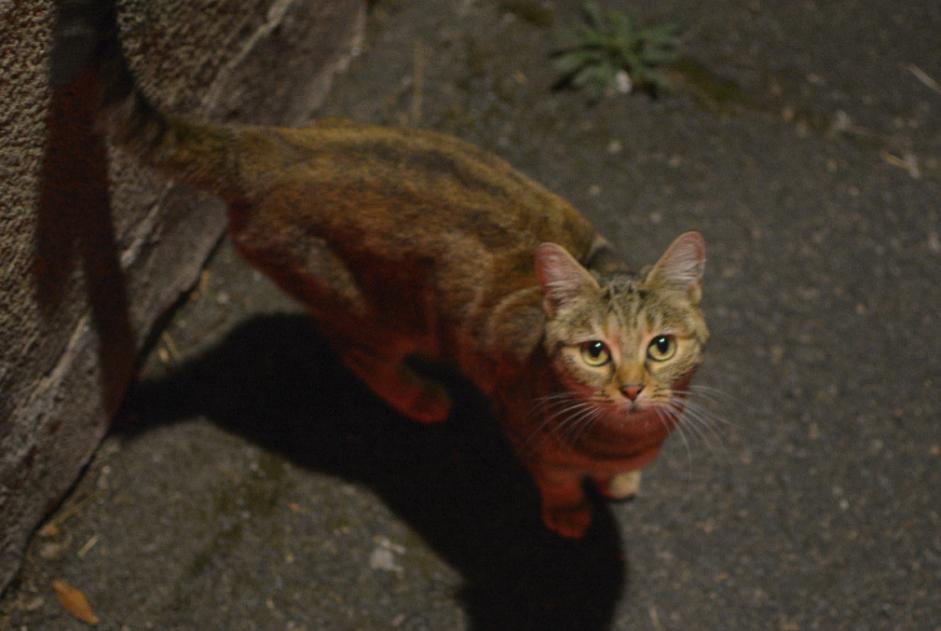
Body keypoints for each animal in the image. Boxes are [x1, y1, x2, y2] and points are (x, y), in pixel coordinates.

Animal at [53, 0, 704, 540]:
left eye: (661, 346)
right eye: (595, 352)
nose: (632, 388)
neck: (624, 437)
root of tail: (274, 149)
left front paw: (618, 481)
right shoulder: (522, 428)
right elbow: (557, 476)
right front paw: (570, 509)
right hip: (379, 310)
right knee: (354, 349)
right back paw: (419, 395)